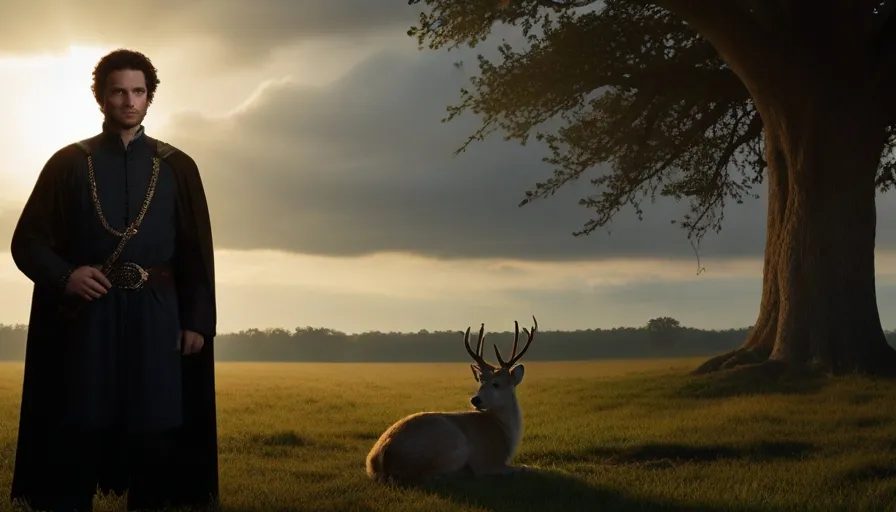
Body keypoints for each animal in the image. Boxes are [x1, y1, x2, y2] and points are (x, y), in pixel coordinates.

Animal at [364, 316, 540, 484]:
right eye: (481, 381)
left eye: (496, 384)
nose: (475, 400)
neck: (504, 431)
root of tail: (385, 455)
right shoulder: (487, 459)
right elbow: (529, 468)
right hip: (453, 444)